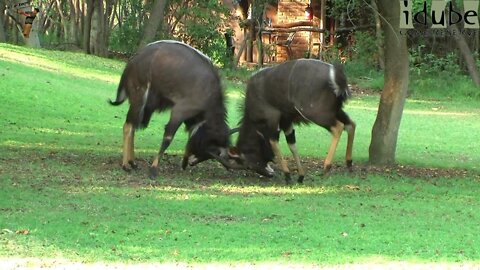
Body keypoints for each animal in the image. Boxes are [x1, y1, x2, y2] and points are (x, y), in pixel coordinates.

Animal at [109, 39, 230, 177]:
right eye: (213, 150)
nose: (191, 163)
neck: (210, 92)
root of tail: (133, 60)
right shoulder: (180, 111)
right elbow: (168, 138)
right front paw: (153, 169)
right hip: (139, 98)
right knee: (128, 126)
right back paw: (125, 165)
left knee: (133, 126)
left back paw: (133, 162)